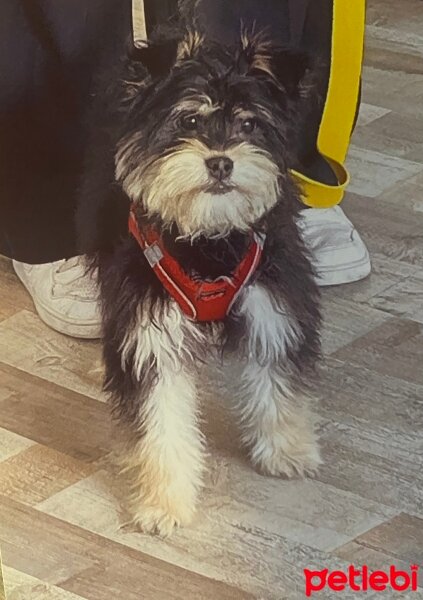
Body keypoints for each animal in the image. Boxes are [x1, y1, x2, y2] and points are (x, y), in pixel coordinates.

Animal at [77, 12, 322, 540]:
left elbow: (278, 379)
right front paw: (164, 503)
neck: (209, 239)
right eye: (189, 120)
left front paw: (286, 449)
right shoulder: (150, 331)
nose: (221, 161)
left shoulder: (274, 304)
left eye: (250, 123)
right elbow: (161, 425)